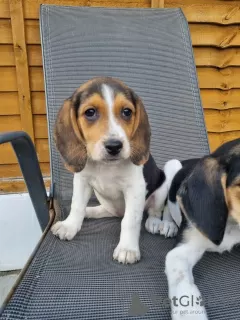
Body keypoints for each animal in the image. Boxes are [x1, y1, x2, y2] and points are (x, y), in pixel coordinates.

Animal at [148, 139, 240, 318]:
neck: (231, 223)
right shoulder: (180, 253)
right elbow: (184, 291)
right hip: (170, 169)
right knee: (166, 205)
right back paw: (166, 224)